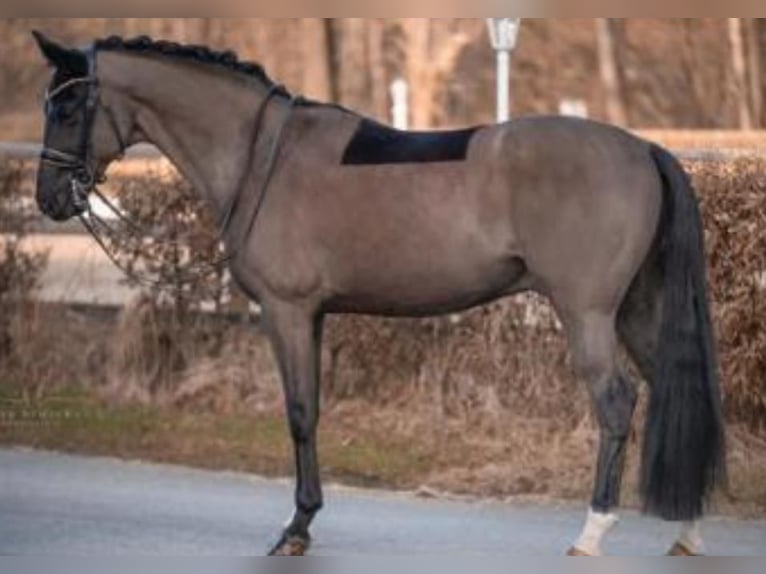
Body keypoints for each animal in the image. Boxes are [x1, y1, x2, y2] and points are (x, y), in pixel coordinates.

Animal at [32, 31, 725, 556]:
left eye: (67, 110)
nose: (49, 200)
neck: (264, 158)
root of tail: (642, 148)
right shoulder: (312, 315)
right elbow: (312, 409)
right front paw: (305, 520)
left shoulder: (286, 311)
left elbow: (299, 412)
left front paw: (296, 527)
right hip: (635, 310)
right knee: (671, 386)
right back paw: (688, 527)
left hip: (588, 313)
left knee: (616, 401)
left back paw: (593, 530)